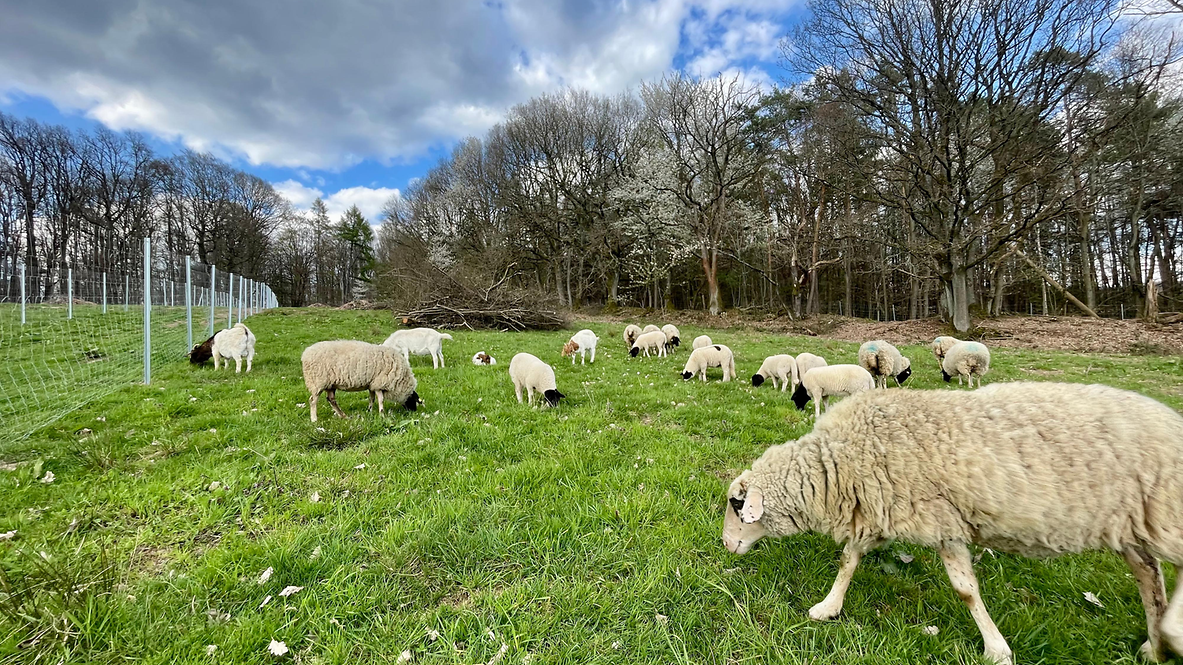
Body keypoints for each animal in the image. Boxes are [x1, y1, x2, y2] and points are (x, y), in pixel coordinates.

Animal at [723, 382, 1183, 665]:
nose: (726, 544)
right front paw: (828, 607)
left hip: (1168, 514)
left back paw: (1169, 633)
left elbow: (965, 590)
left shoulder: (937, 519)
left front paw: (997, 649)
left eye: (737, 503)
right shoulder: (880, 509)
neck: (835, 467)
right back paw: (1155, 644)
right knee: (1150, 577)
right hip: (1134, 525)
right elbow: (848, 561)